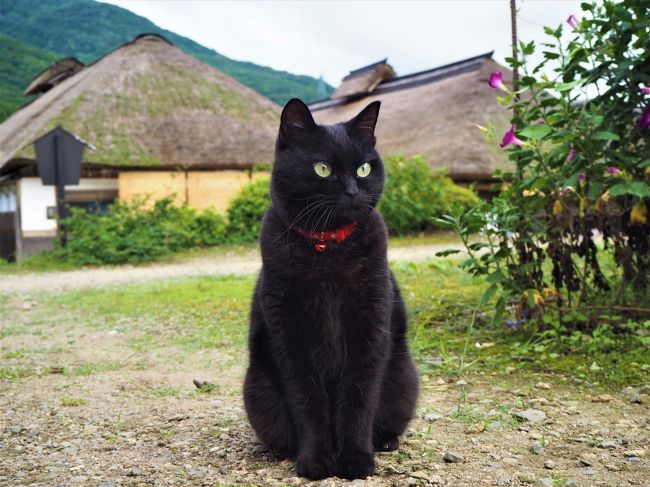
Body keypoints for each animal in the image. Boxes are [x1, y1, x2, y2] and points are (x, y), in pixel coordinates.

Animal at [240, 98, 418, 480]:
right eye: (322, 169)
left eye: (364, 168)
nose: (352, 191)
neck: (328, 249)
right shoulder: (290, 337)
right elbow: (307, 402)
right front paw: (316, 460)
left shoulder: (369, 329)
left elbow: (359, 398)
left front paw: (355, 460)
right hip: (257, 390)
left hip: (403, 381)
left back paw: (386, 442)